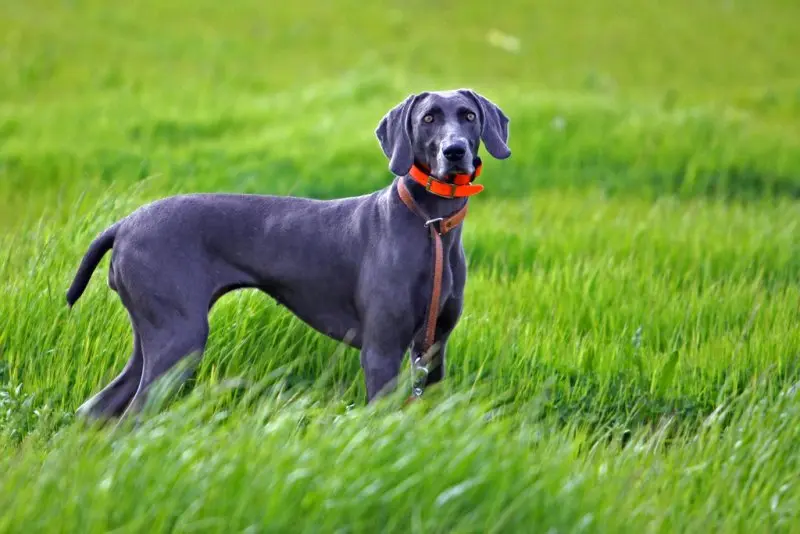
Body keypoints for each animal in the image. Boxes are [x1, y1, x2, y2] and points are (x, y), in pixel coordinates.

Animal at [65, 89, 510, 422]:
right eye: (428, 118)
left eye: (469, 116)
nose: (454, 152)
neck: (431, 223)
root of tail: (123, 224)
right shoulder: (381, 352)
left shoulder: (434, 350)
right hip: (179, 338)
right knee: (131, 416)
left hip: (153, 336)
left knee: (96, 409)